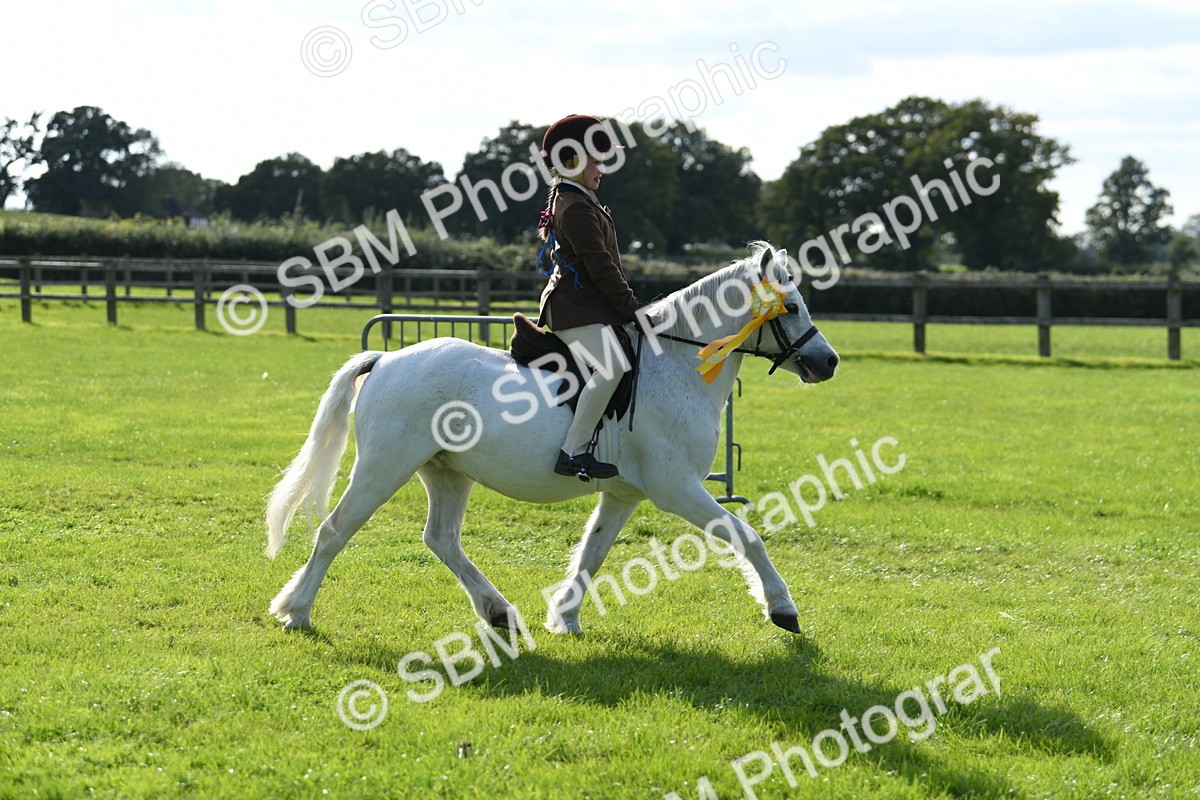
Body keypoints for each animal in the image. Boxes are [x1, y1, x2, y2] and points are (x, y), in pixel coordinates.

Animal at [265, 242, 840, 636]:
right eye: (790, 308)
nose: (829, 362)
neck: (677, 364)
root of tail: (386, 358)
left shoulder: (624, 495)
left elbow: (592, 554)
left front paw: (565, 618)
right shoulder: (676, 489)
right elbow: (747, 536)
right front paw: (783, 610)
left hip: (447, 471)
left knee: (441, 539)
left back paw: (499, 612)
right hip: (384, 467)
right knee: (334, 531)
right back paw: (297, 612)